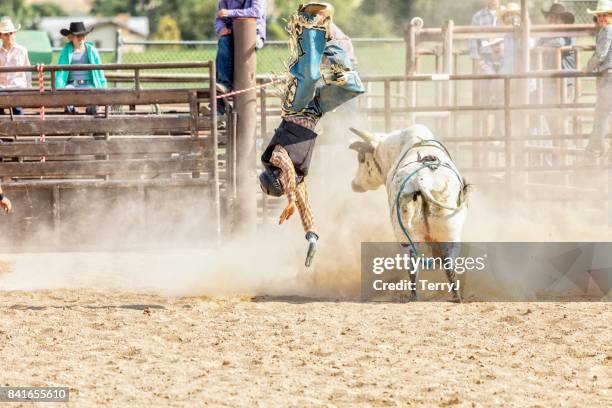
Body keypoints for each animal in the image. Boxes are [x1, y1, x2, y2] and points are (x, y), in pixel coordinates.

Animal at [350, 124, 468, 300]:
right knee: (449, 263)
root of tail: (422, 180)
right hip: (450, 232)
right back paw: (455, 296)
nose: (354, 184)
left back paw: (413, 296)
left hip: (407, 236)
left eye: (362, 159)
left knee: (413, 266)